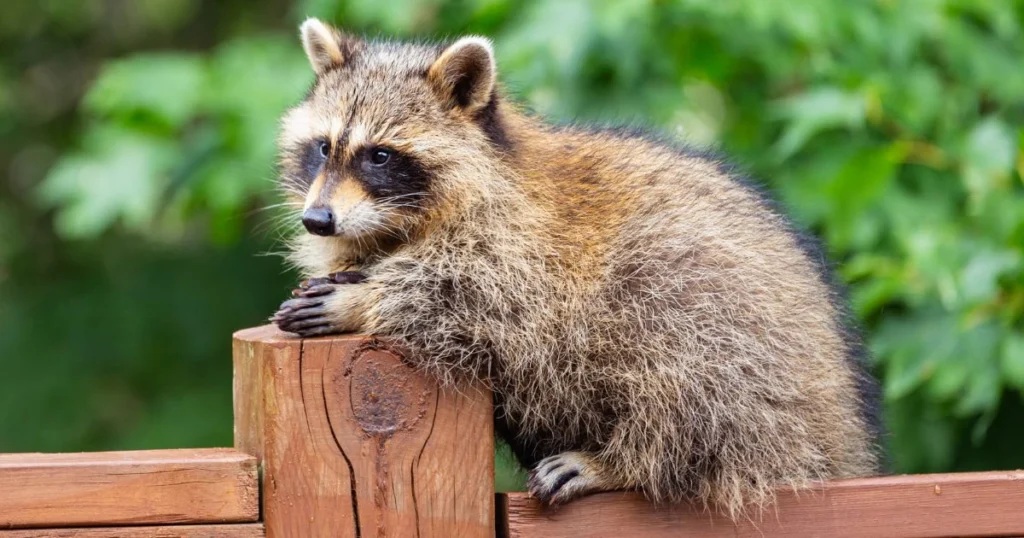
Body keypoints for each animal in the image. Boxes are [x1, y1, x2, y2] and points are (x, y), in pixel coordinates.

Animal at [270, 17, 880, 516]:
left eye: (379, 155)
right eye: (323, 147)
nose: (317, 220)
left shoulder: (526, 245)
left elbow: (479, 296)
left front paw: (367, 298)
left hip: (730, 324)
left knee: (688, 368)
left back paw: (624, 462)